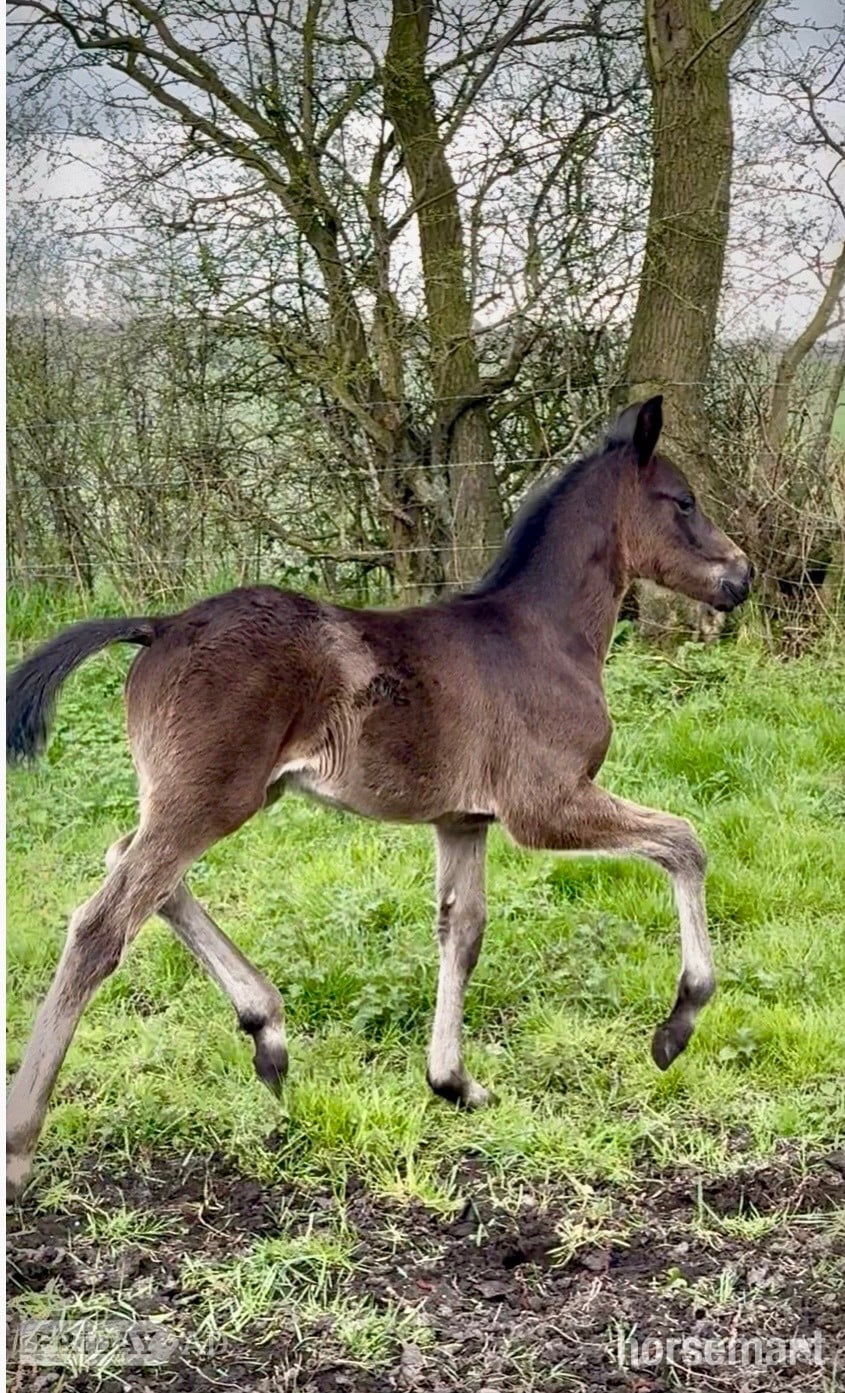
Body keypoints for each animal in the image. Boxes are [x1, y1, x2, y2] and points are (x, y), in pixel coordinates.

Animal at [5, 396, 752, 1198]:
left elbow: (462, 930)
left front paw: (455, 1082)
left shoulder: (463, 819)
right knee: (103, 922)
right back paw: (20, 1144)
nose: (740, 574)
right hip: (210, 797)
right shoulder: (546, 805)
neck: (542, 636)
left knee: (133, 866)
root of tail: (162, 624)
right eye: (683, 501)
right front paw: (676, 1026)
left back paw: (267, 1032)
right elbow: (683, 842)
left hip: (211, 794)